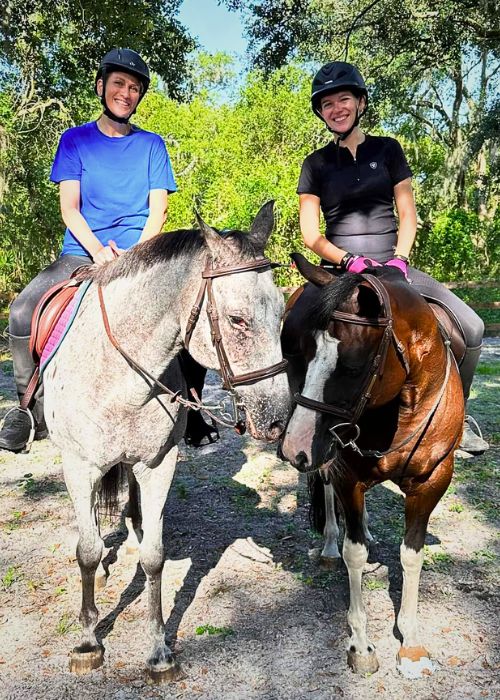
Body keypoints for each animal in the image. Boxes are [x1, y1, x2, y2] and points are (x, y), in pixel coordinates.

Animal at [45, 201, 292, 680]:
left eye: (280, 313)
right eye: (237, 319)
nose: (277, 419)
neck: (117, 376)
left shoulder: (158, 465)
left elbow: (155, 557)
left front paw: (159, 650)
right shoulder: (79, 467)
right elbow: (87, 550)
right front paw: (87, 641)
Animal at [280, 254, 462, 680]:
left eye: (352, 365)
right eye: (303, 353)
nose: (294, 448)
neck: (403, 407)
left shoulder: (433, 480)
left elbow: (412, 554)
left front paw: (411, 642)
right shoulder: (346, 474)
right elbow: (354, 554)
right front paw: (360, 644)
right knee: (326, 490)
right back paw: (330, 543)